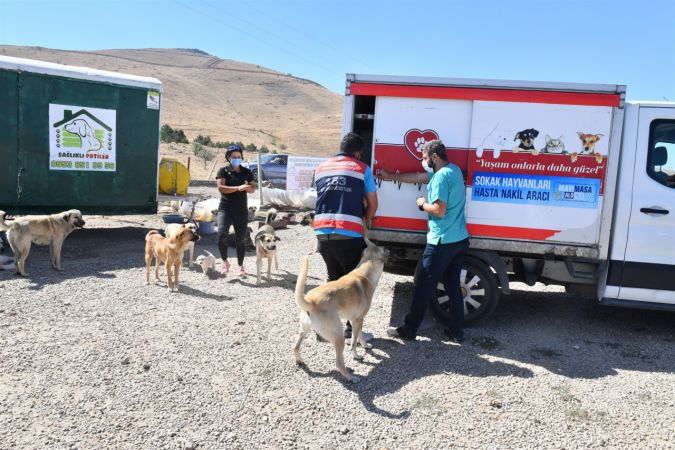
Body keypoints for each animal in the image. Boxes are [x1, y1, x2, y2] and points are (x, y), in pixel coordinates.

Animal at [294, 237, 388, 382]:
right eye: (382, 248)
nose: (388, 248)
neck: (365, 271)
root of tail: (311, 302)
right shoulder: (358, 319)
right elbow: (354, 342)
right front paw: (357, 356)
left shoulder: (355, 319)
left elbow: (360, 335)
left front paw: (365, 346)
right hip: (339, 335)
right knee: (338, 363)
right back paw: (351, 377)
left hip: (304, 330)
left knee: (296, 347)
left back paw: (300, 361)